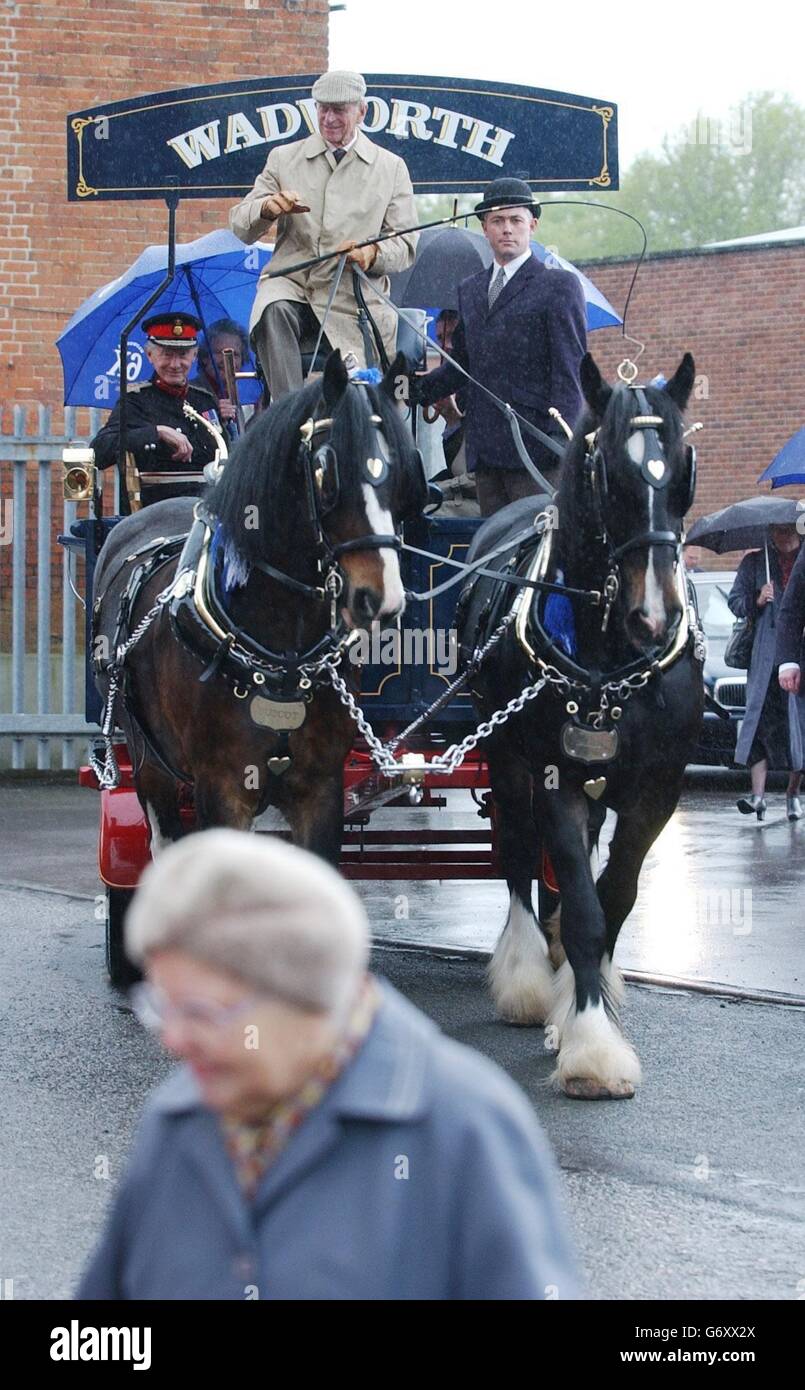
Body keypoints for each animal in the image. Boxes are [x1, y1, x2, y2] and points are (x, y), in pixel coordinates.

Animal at [93, 353, 428, 861]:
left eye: (406, 474)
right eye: (326, 471)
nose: (382, 596)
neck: (281, 653)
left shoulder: (320, 790)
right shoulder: (223, 788)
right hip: (149, 764)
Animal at [458, 355, 706, 1095]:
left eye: (683, 469)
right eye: (610, 474)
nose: (654, 617)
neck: (611, 659)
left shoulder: (658, 789)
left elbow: (613, 898)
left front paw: (579, 1010)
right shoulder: (555, 776)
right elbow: (587, 911)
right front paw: (591, 1046)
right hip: (506, 759)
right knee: (515, 854)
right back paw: (523, 978)